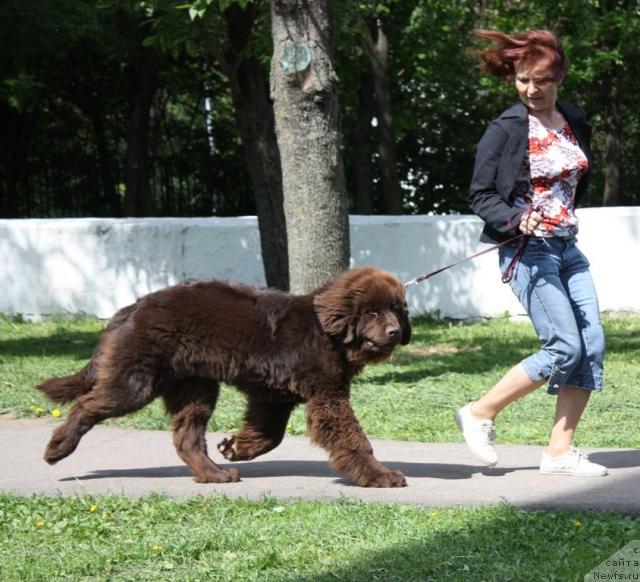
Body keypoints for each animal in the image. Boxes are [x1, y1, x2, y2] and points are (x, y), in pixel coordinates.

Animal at [38, 268, 410, 488]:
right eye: (372, 311)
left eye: (397, 309)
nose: (395, 332)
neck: (327, 332)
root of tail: (133, 307)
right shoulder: (325, 394)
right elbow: (352, 438)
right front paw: (381, 476)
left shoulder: (273, 395)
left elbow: (270, 434)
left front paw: (235, 448)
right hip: (136, 380)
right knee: (87, 405)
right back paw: (57, 448)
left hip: (194, 388)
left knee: (186, 437)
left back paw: (214, 473)